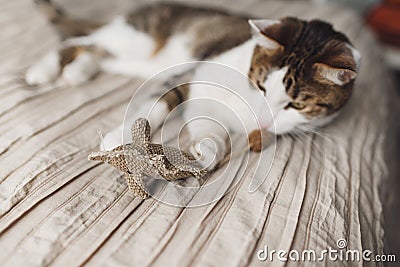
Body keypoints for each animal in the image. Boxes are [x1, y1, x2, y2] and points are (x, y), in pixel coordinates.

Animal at [26, 0, 360, 170]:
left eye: (298, 104)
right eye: (261, 86)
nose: (263, 120)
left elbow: (209, 130)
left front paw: (205, 152)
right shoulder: (190, 74)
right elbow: (156, 107)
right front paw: (117, 139)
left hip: (129, 57)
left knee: (94, 52)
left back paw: (78, 71)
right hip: (135, 39)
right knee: (80, 40)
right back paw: (43, 70)